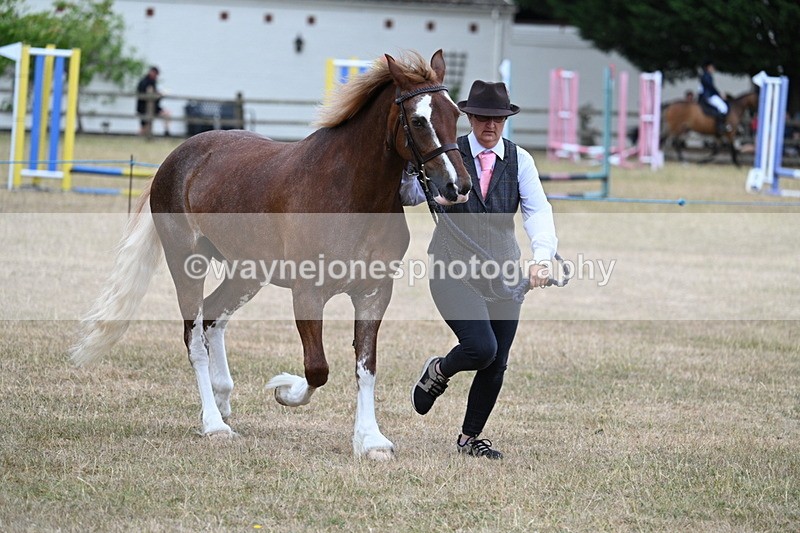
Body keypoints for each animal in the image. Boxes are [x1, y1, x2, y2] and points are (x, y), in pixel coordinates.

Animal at [69, 50, 472, 461]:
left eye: (456, 113)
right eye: (419, 119)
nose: (457, 186)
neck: (349, 191)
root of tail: (174, 159)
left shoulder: (374, 292)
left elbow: (366, 366)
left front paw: (371, 440)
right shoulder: (307, 292)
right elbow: (316, 368)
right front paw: (284, 389)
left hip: (246, 273)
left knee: (213, 316)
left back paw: (223, 399)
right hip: (186, 265)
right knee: (194, 338)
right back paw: (213, 423)